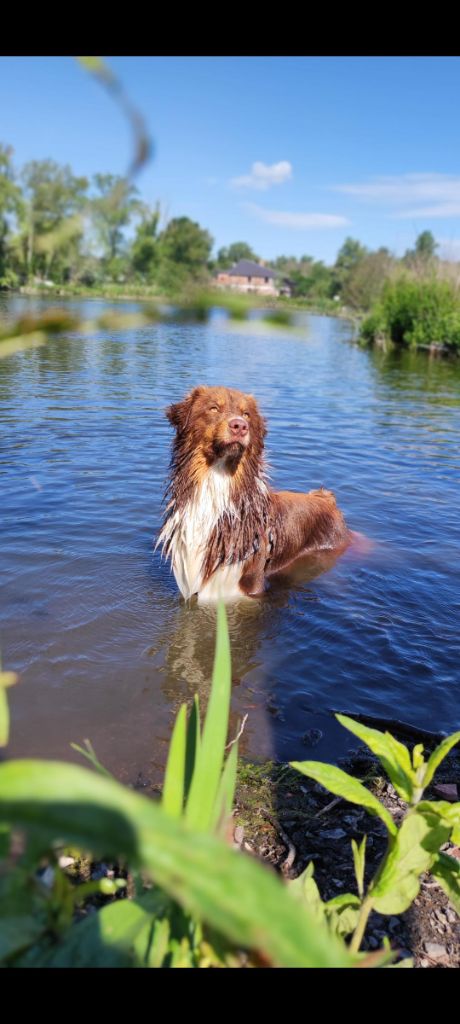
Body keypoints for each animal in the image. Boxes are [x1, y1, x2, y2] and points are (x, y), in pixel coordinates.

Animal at [155, 387, 350, 602]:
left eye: (246, 414)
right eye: (213, 408)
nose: (240, 426)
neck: (218, 481)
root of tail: (327, 499)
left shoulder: (245, 587)